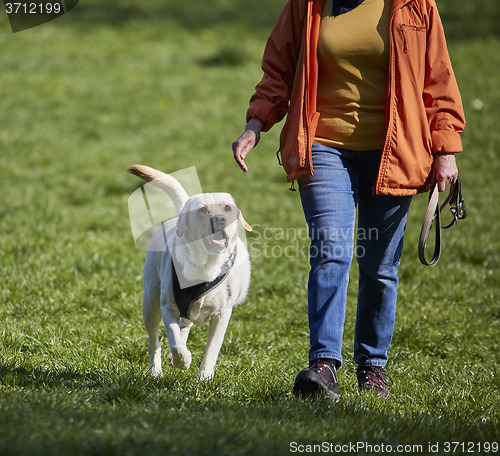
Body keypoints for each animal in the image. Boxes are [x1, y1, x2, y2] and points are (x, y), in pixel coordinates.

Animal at [129, 166, 252, 380]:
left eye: (227, 208)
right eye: (203, 210)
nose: (219, 219)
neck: (205, 265)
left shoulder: (222, 313)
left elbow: (212, 349)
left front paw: (204, 378)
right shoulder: (167, 306)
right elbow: (174, 341)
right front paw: (182, 359)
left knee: (185, 325)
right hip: (150, 304)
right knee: (154, 341)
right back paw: (156, 370)